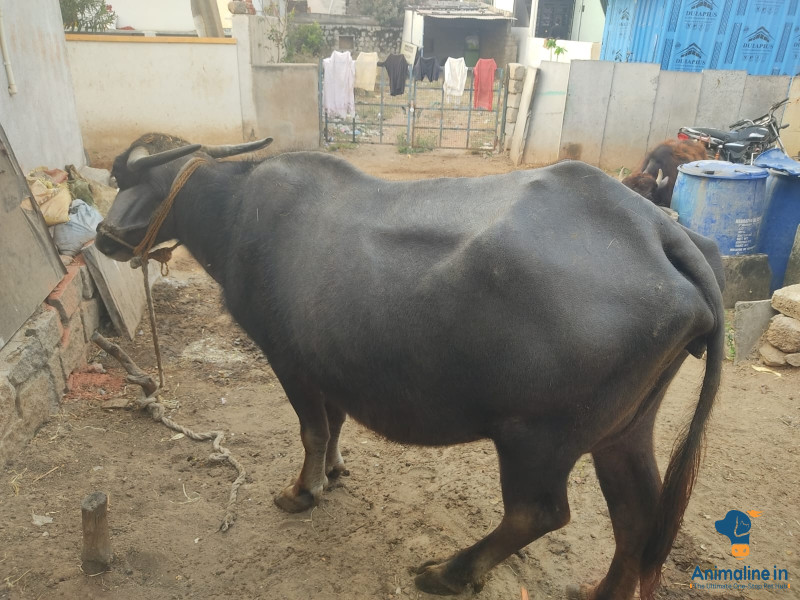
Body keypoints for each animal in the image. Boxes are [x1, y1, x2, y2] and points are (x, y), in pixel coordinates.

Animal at [96, 134, 724, 600]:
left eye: (138, 183)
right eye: (118, 181)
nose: (105, 236)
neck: (233, 213)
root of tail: (658, 230)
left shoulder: (289, 360)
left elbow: (311, 428)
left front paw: (302, 491)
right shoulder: (328, 364)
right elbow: (335, 424)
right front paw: (336, 470)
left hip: (538, 437)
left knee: (539, 513)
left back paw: (448, 573)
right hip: (624, 430)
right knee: (638, 517)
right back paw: (597, 591)